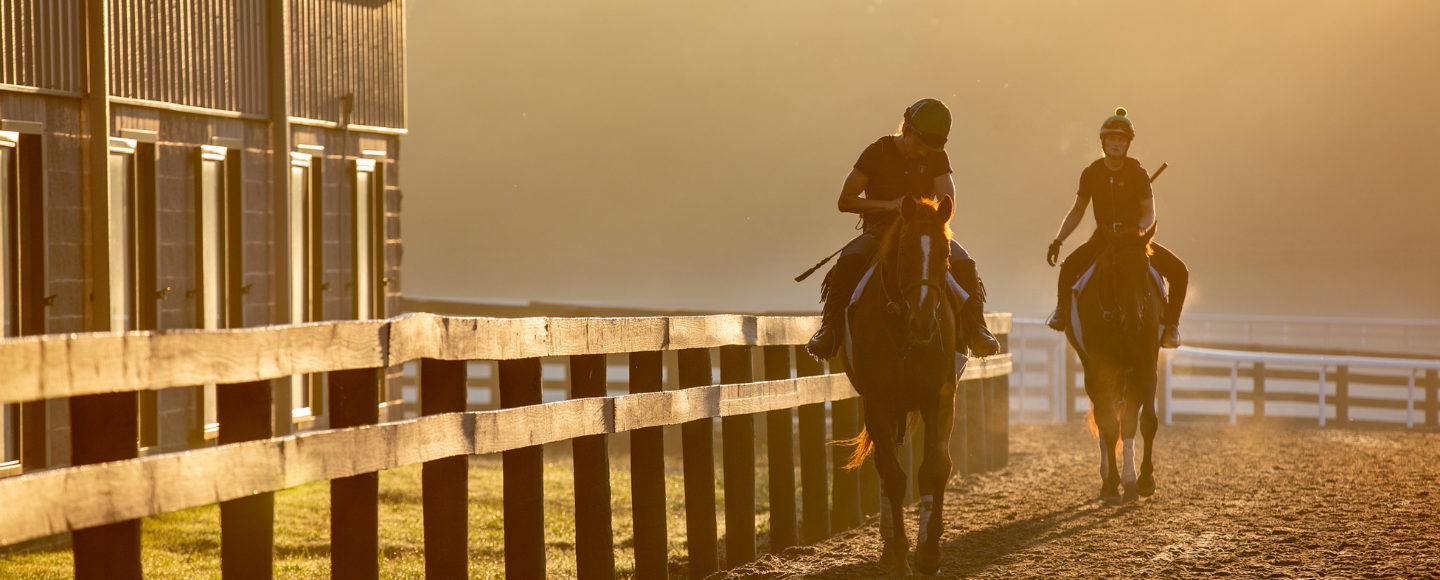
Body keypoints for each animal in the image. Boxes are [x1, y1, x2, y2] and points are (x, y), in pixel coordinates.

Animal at [840, 195, 961, 575]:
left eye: (945, 253)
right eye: (905, 251)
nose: (923, 320)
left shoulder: (940, 396)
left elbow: (936, 467)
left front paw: (929, 552)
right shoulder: (878, 402)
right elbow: (893, 477)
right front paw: (898, 553)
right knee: (884, 469)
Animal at [1065, 228, 1163, 506]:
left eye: (1145, 266)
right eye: (1117, 267)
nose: (1133, 320)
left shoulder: (1145, 365)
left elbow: (1145, 421)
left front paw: (1143, 481)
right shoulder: (1099, 369)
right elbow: (1108, 425)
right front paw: (1111, 484)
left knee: (1125, 420)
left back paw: (1129, 481)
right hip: (1096, 373)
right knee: (1104, 420)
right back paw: (1109, 480)